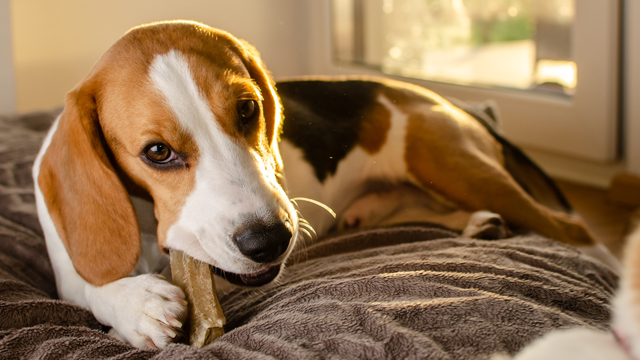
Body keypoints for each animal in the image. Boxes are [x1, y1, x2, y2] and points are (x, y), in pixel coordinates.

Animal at [35, 20, 608, 348]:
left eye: (248, 110)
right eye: (157, 152)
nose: (269, 241)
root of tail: (444, 99)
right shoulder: (63, 271)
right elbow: (88, 285)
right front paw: (135, 305)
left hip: (452, 164)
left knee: (574, 230)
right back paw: (479, 225)